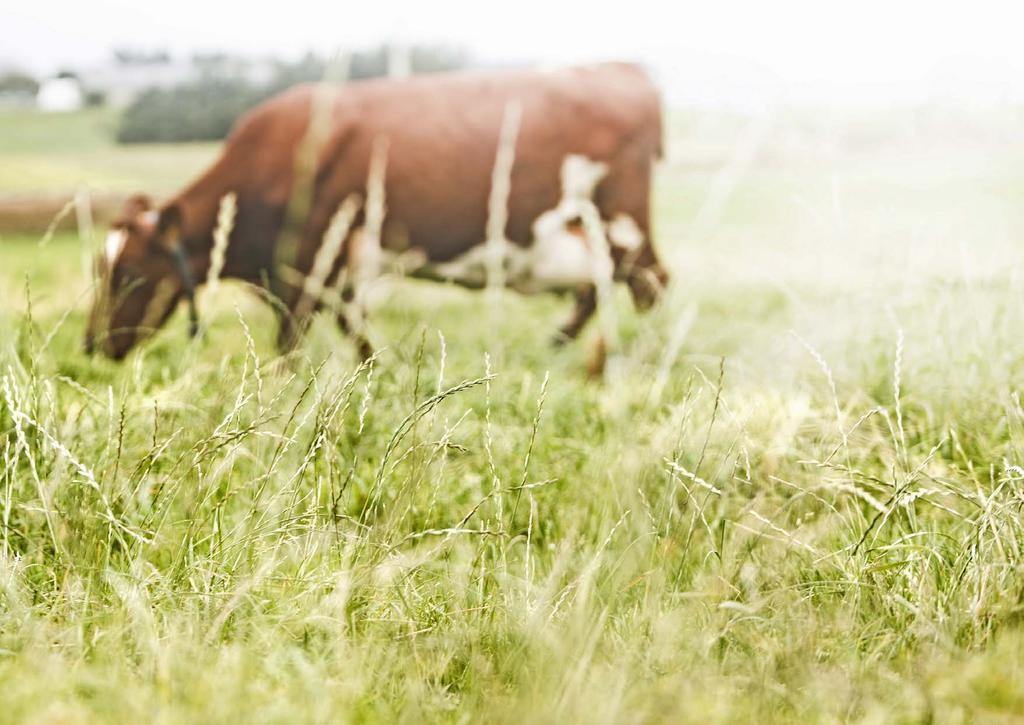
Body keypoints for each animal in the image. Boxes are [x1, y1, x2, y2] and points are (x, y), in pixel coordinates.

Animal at [83, 61, 667, 360]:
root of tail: (620, 68)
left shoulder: (308, 262)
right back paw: (559, 344)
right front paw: (374, 366)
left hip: (620, 221)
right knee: (600, 287)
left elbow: (291, 340)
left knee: (647, 283)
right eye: (99, 269)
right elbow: (353, 327)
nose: (90, 344)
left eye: (130, 274)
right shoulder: (333, 268)